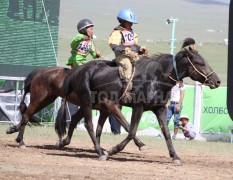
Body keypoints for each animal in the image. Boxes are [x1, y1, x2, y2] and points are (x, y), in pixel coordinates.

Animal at [56, 47, 220, 165]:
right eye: (200, 63)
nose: (217, 81)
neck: (155, 79)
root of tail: (77, 70)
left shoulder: (160, 109)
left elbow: (166, 133)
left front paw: (175, 156)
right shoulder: (138, 108)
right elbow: (132, 131)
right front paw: (114, 150)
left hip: (97, 106)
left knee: (80, 121)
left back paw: (65, 142)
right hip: (88, 103)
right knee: (89, 125)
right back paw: (101, 153)